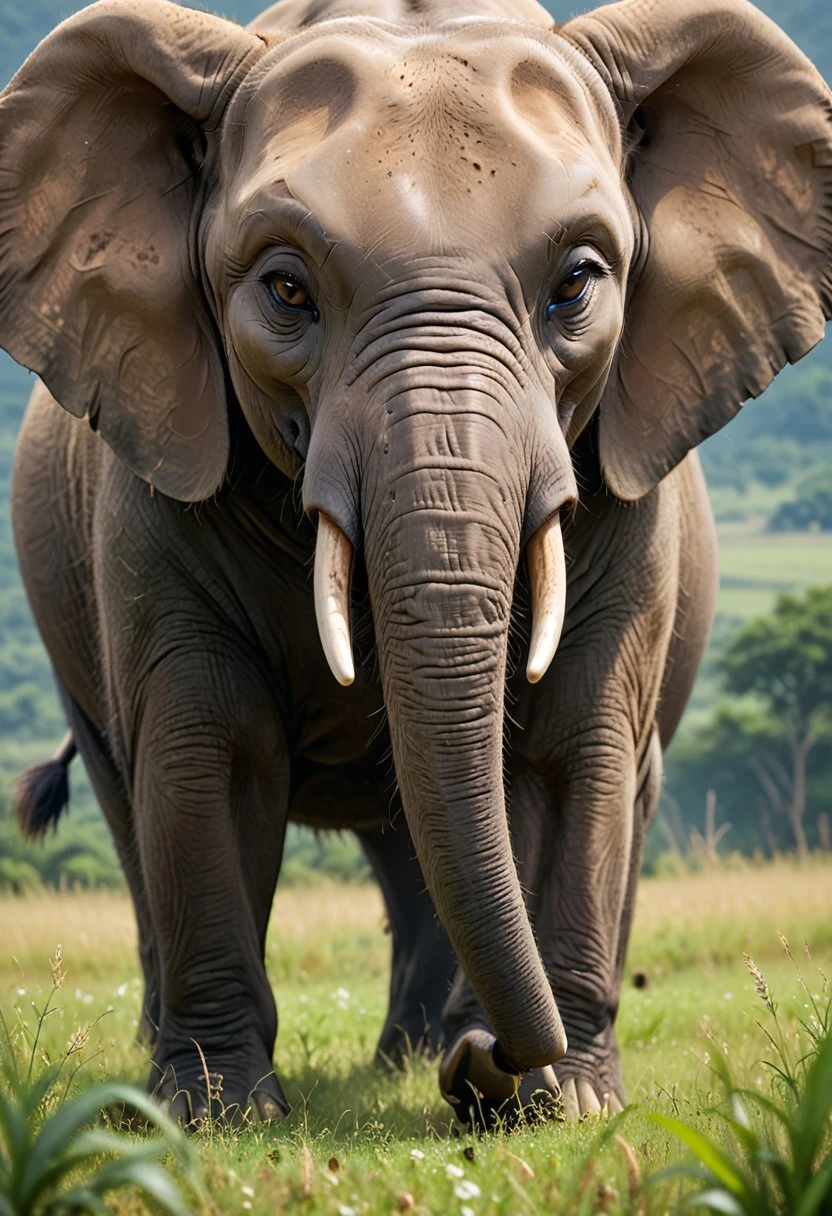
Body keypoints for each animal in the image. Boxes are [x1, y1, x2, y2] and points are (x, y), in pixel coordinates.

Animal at [1, 0, 830, 1127]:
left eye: (577, 282)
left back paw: (418, 1053)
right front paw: (218, 1116)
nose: (488, 1059)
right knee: (134, 787)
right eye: (286, 288)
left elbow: (567, 749)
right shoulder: (152, 482)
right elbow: (210, 748)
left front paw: (562, 1104)